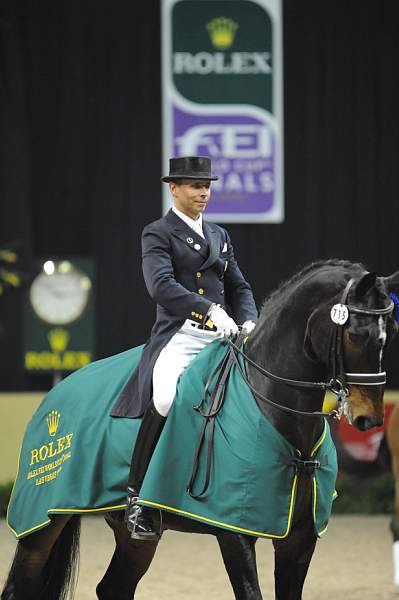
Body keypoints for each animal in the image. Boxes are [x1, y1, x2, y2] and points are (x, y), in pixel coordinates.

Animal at [3, 260, 399, 600]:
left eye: (392, 332)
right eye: (357, 333)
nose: (369, 418)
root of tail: (55, 394)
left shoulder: (300, 536)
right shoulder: (234, 533)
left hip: (135, 537)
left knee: (113, 587)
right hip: (42, 523)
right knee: (19, 586)